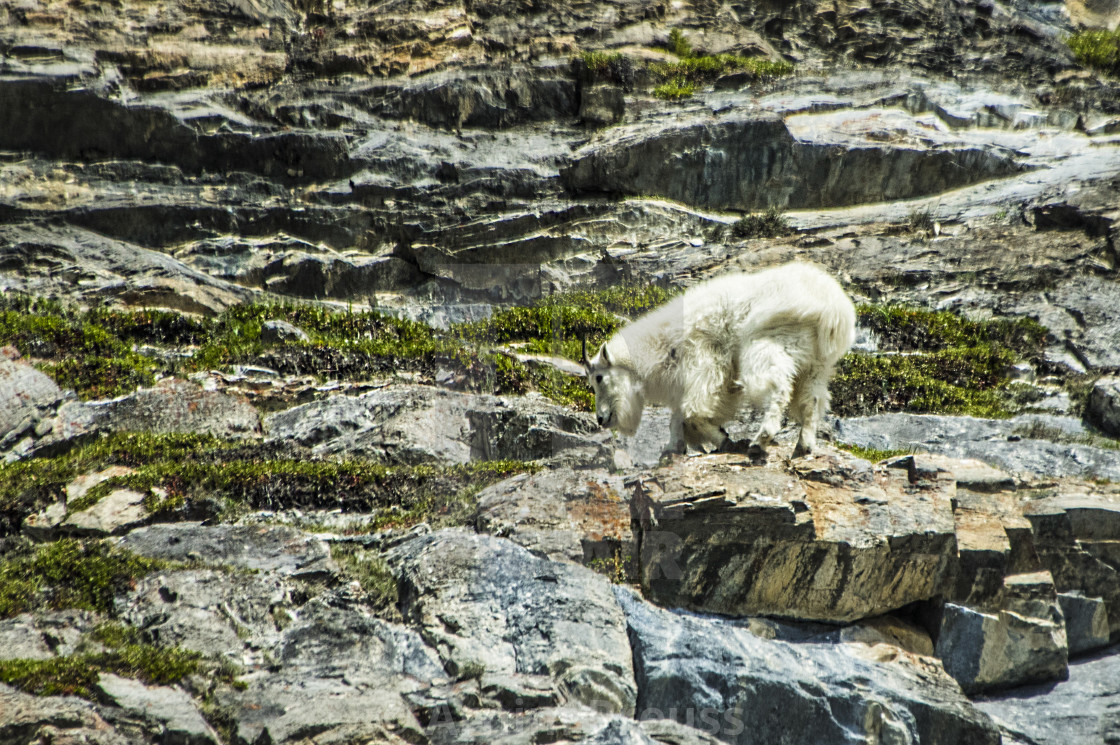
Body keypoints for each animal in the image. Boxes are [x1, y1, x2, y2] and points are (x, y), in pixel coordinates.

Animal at [582, 261, 851, 459]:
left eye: (599, 378)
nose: (601, 419)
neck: (663, 344)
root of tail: (834, 309)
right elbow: (678, 418)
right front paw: (674, 447)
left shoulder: (704, 362)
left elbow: (693, 411)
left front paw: (724, 439)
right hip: (817, 364)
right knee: (812, 400)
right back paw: (803, 445)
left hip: (771, 345)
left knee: (777, 387)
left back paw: (760, 439)